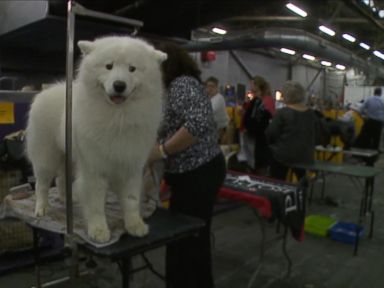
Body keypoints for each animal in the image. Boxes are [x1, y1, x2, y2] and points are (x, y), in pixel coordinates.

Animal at [26, 36, 166, 243]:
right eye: (108, 66)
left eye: (132, 69)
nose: (119, 85)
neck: (118, 117)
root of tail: (45, 92)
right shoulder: (94, 169)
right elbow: (95, 205)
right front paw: (98, 230)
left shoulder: (131, 165)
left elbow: (131, 200)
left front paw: (135, 225)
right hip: (46, 157)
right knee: (41, 184)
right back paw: (42, 208)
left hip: (68, 157)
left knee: (61, 180)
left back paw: (66, 199)